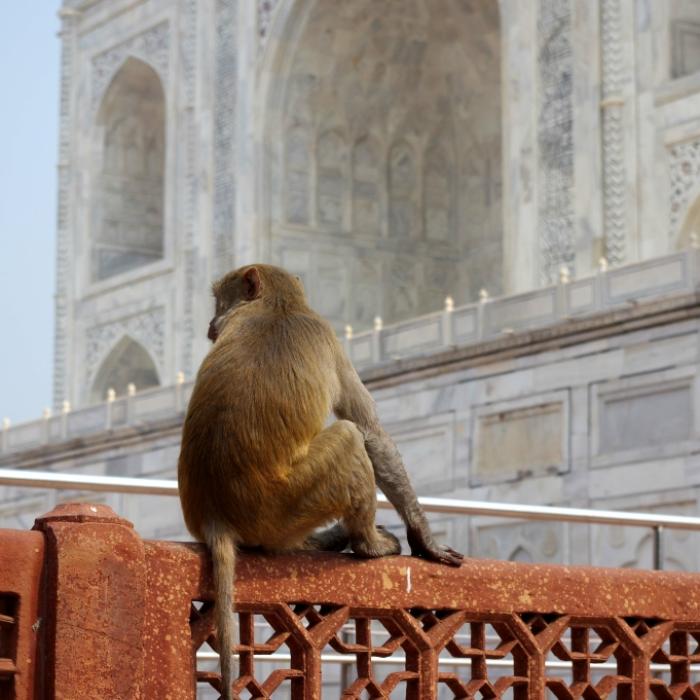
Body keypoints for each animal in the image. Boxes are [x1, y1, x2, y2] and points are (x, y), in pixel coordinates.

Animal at [178, 264, 463, 700]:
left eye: (218, 302)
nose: (211, 323)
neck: (277, 307)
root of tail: (215, 516)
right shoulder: (328, 335)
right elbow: (370, 431)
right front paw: (425, 539)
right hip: (289, 503)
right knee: (349, 437)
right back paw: (368, 545)